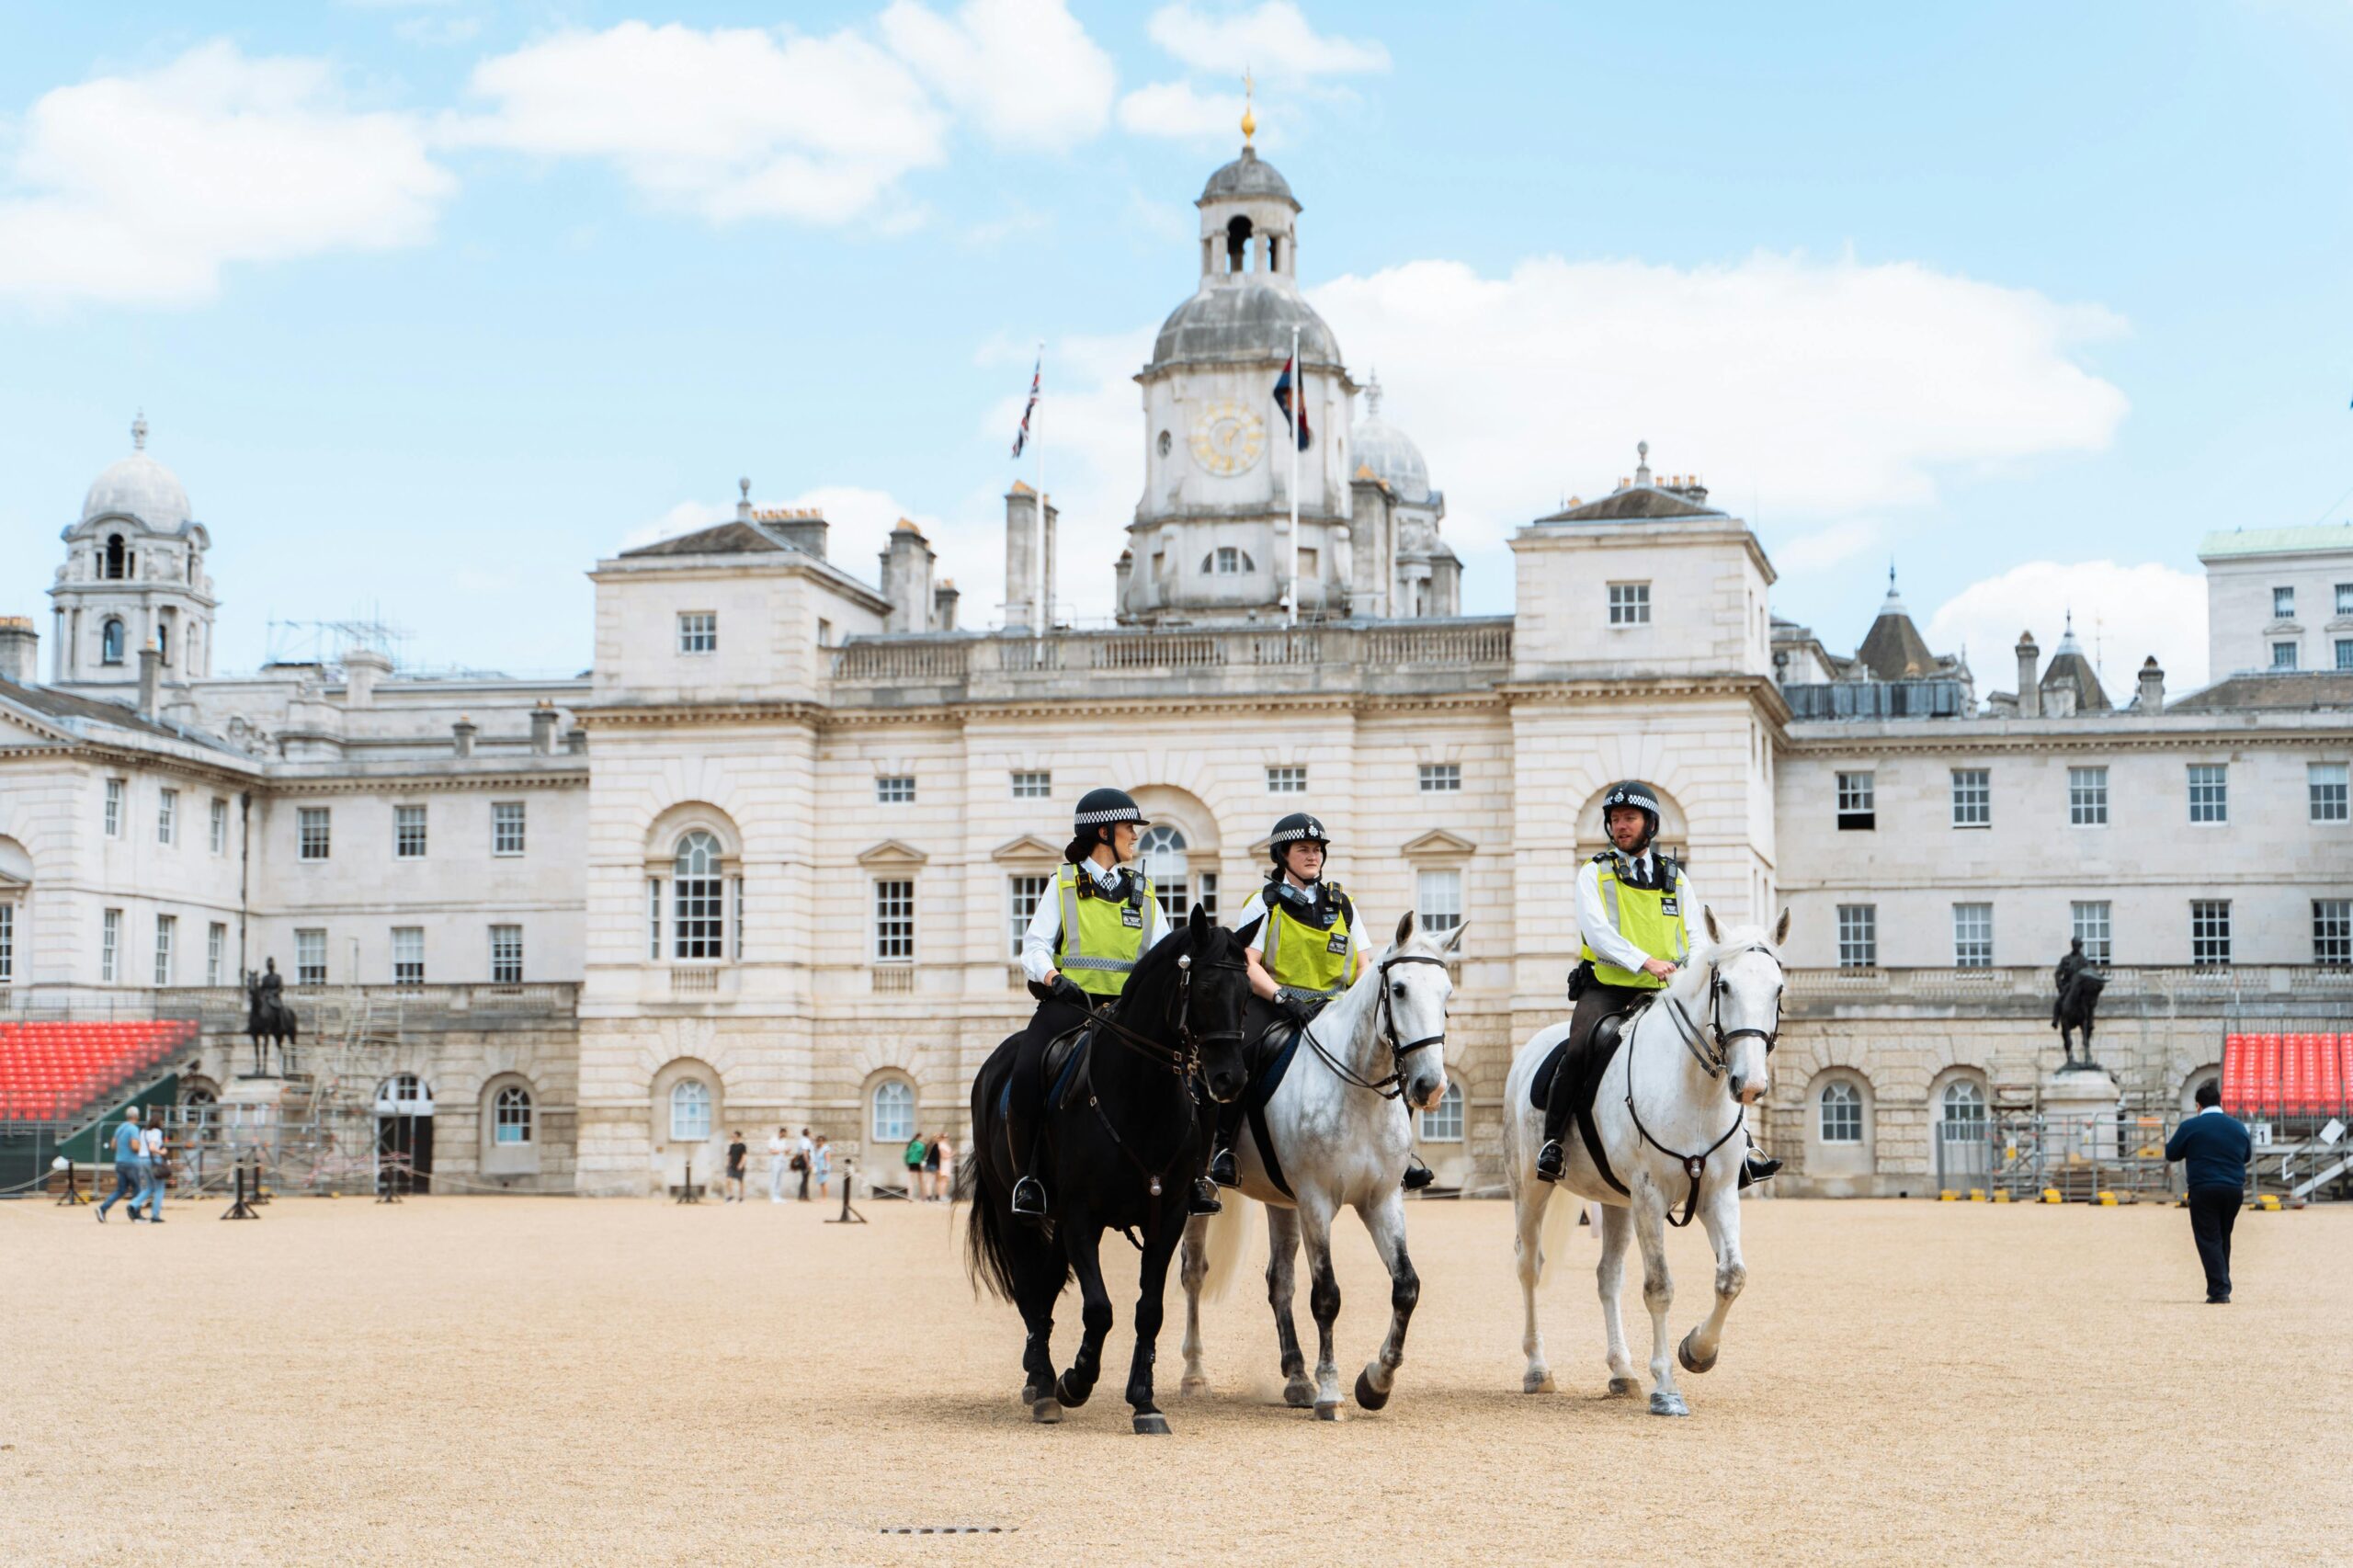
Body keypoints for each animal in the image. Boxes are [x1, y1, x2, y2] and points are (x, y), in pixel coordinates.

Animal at [963, 905, 1252, 1434]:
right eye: (1203, 987)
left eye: (1245, 994)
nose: (1229, 1080)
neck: (1140, 1099)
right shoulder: (1082, 1216)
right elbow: (1099, 1309)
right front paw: (1075, 1381)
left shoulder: (1168, 1215)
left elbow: (1149, 1311)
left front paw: (1144, 1401)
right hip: (1013, 1208)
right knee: (1029, 1287)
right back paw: (1043, 1383)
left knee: (1046, 1287)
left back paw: (1039, 1376)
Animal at [1177, 911, 1459, 1420]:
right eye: (1400, 989)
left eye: (1447, 993)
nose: (1430, 1086)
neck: (1359, 1090)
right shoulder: (1316, 1202)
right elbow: (1326, 1296)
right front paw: (1331, 1391)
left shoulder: (1382, 1201)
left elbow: (1406, 1286)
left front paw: (1376, 1382)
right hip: (1207, 1197)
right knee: (1194, 1272)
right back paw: (1195, 1374)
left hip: (1280, 1201)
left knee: (1280, 1282)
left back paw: (1295, 1377)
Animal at [1502, 907, 1788, 1417]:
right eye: (1724, 986)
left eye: (1777, 989)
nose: (1750, 1085)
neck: (1696, 1090)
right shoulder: (1651, 1198)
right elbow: (1659, 1287)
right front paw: (1667, 1387)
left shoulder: (1717, 1195)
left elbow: (1731, 1277)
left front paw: (1697, 1351)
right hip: (1532, 1190)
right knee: (1529, 1265)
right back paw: (1537, 1368)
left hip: (1616, 1202)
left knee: (1607, 1278)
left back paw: (1622, 1372)